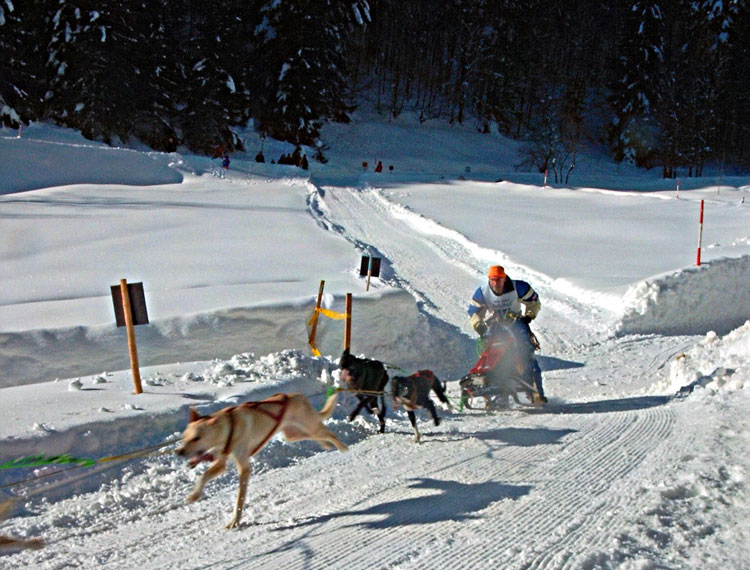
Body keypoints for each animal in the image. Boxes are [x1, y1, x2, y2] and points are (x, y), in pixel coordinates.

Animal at [178, 392, 348, 524]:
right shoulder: (221, 463)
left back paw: (342, 448)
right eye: (184, 437)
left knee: (330, 434)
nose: (178, 452)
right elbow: (203, 477)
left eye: (196, 438)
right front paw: (194, 495)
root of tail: (298, 396)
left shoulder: (244, 469)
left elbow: (239, 499)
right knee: (318, 436)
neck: (230, 426)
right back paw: (325, 445)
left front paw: (235, 520)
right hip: (292, 435)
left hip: (310, 427)